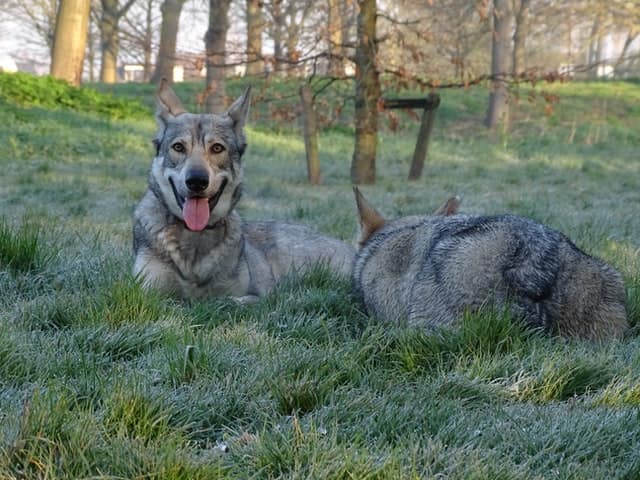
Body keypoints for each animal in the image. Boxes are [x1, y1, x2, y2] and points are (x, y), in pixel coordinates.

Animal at [132, 80, 354, 300]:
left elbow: (225, 300)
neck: (195, 236)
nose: (197, 181)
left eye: (217, 148)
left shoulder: (256, 295)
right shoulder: (149, 293)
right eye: (178, 147)